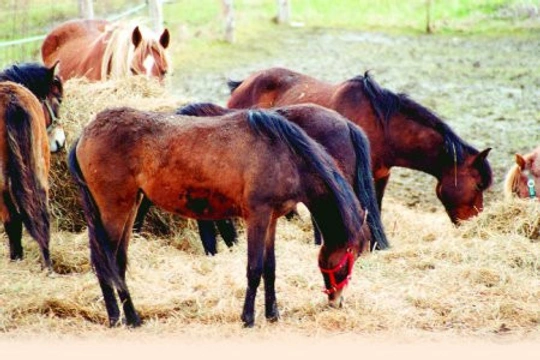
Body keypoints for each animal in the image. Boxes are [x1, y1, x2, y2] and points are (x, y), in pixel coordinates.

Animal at [68, 106, 372, 326]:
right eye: (349, 257)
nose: (337, 301)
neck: (284, 154)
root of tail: (85, 133)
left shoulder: (271, 220)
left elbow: (270, 268)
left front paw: (272, 314)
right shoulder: (258, 216)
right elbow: (254, 269)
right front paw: (248, 317)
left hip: (129, 208)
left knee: (117, 262)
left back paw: (130, 316)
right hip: (114, 209)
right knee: (104, 261)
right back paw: (117, 317)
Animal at [228, 66, 494, 224]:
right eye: (478, 184)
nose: (476, 222)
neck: (382, 128)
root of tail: (244, 83)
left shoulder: (381, 175)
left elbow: (377, 206)